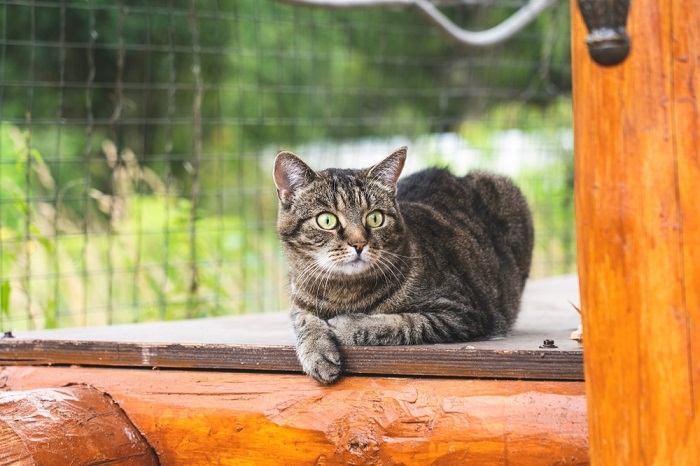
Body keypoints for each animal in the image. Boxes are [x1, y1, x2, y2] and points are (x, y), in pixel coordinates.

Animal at [274, 147, 536, 384]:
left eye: (375, 218)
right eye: (327, 220)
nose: (359, 243)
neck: (344, 292)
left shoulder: (462, 312)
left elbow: (405, 322)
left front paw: (345, 324)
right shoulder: (298, 303)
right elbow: (305, 322)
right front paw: (318, 352)